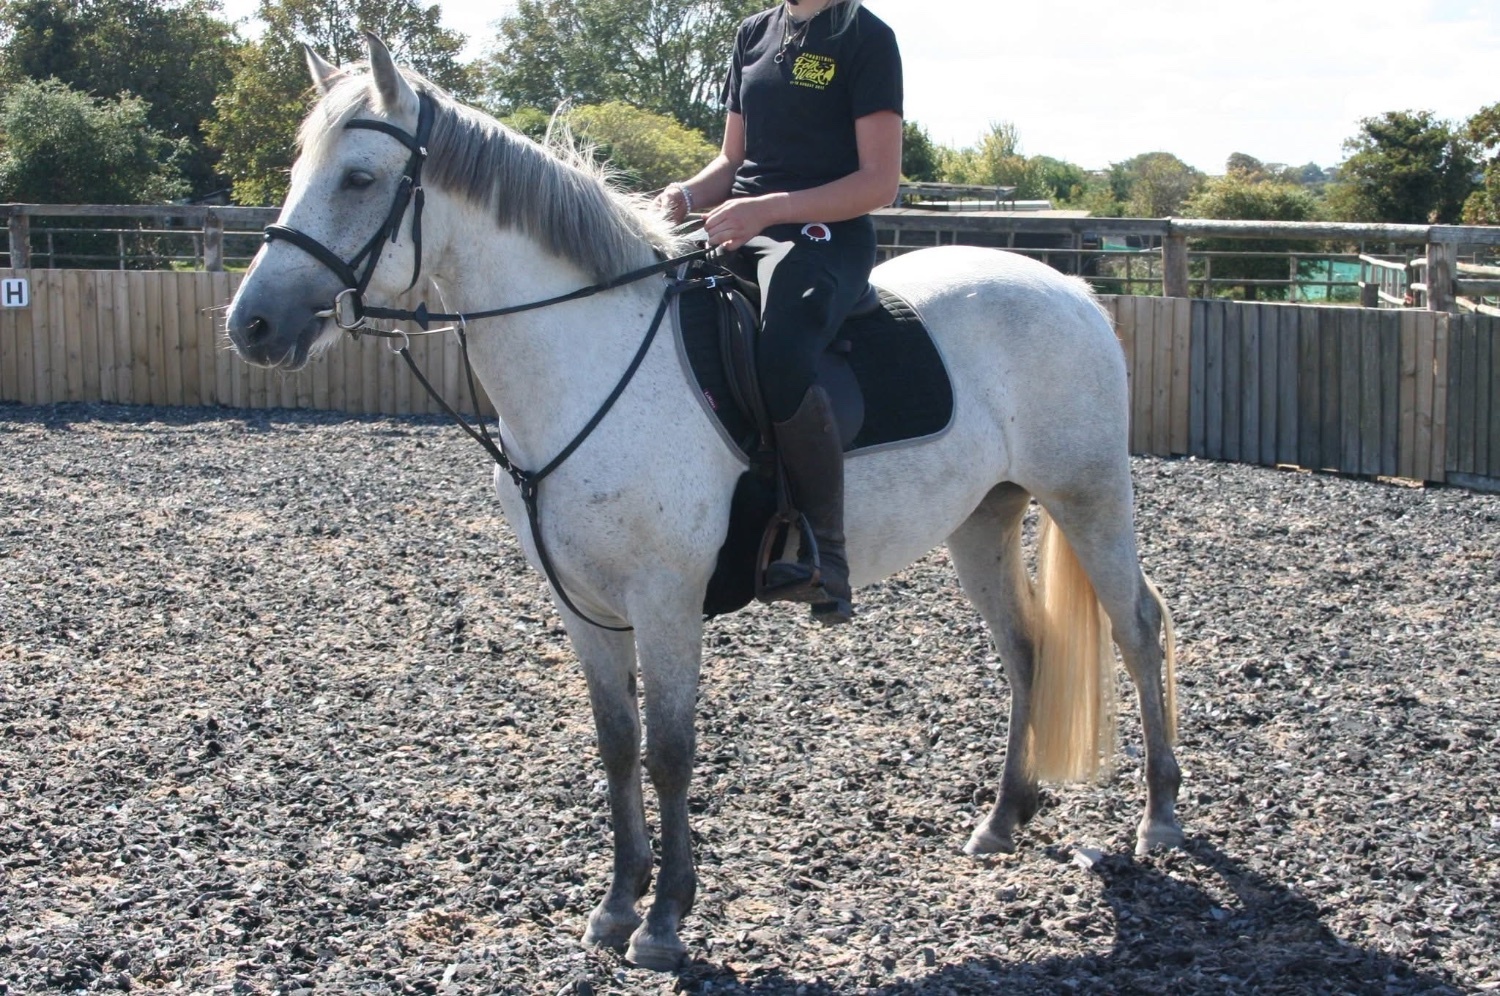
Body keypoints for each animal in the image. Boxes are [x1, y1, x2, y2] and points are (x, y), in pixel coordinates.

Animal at [225, 33, 1183, 973]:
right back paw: (1003, 818)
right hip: (984, 517)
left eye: (359, 178)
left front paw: (665, 921)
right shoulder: (584, 604)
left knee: (1137, 627)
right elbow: (616, 745)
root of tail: (1068, 288)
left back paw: (1162, 817)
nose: (251, 327)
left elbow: (670, 753)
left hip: (1088, 495)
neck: (590, 362)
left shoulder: (666, 599)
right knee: (1025, 648)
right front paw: (617, 903)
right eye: (300, 167)